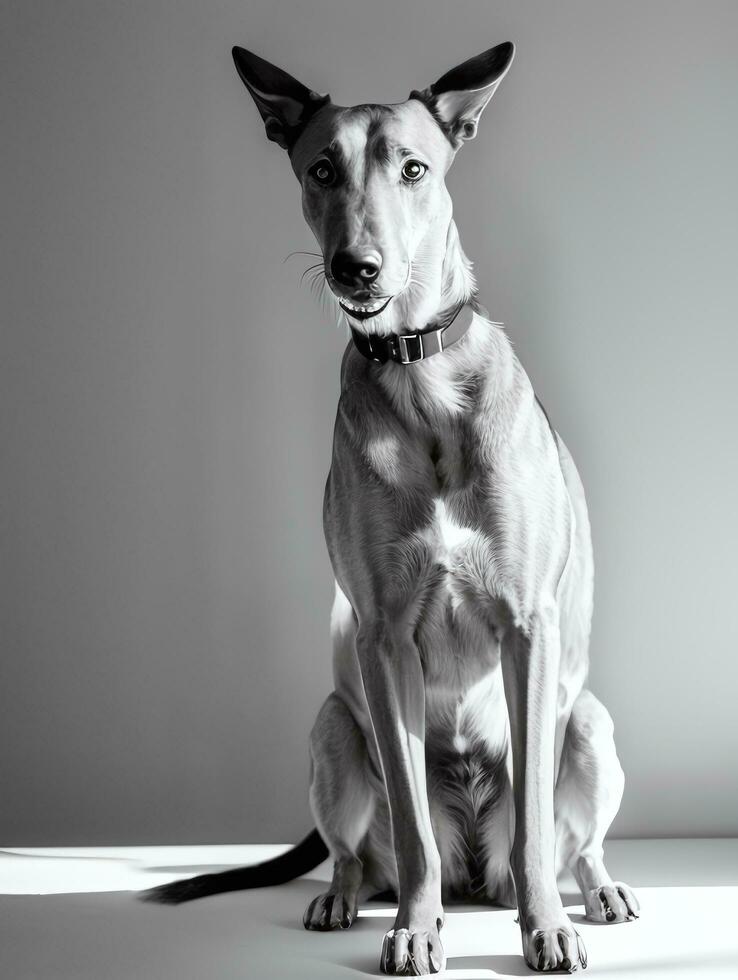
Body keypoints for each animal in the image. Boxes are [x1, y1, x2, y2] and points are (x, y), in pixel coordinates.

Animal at [145, 44, 640, 972]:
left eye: (414, 169)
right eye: (320, 170)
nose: (357, 268)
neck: (421, 372)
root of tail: (477, 875)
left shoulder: (529, 628)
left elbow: (534, 829)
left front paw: (545, 928)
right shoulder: (382, 643)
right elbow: (410, 830)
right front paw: (414, 928)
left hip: (588, 724)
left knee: (571, 843)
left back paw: (593, 892)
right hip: (334, 729)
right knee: (358, 853)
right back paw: (345, 899)